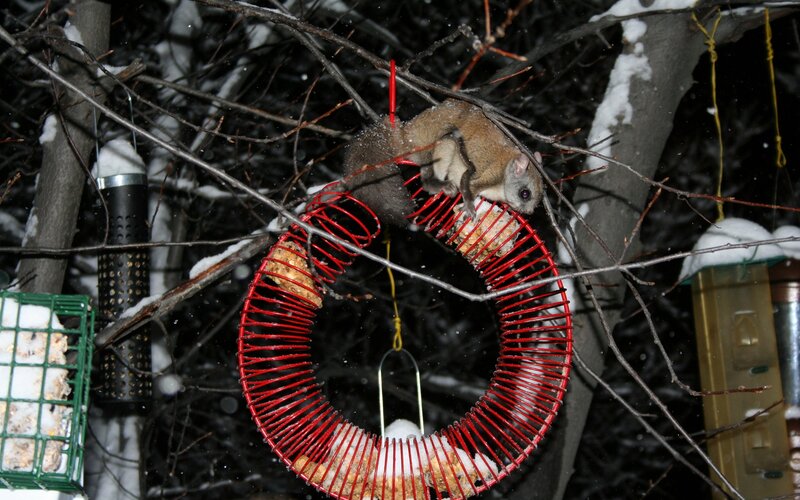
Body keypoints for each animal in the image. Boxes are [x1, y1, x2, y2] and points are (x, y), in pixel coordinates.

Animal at [343, 99, 543, 225]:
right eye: (525, 194)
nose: (529, 213)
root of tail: (404, 135)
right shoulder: (487, 174)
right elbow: (468, 185)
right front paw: (469, 208)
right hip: (440, 145)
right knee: (428, 178)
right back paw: (439, 185)